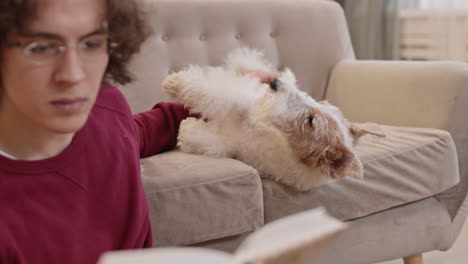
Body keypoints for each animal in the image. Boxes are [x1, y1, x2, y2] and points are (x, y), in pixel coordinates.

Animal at [161, 47, 384, 191]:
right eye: (320, 103)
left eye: (311, 121)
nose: (276, 83)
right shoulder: (247, 99)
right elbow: (217, 91)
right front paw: (175, 82)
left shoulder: (234, 143)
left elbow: (211, 140)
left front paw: (187, 129)